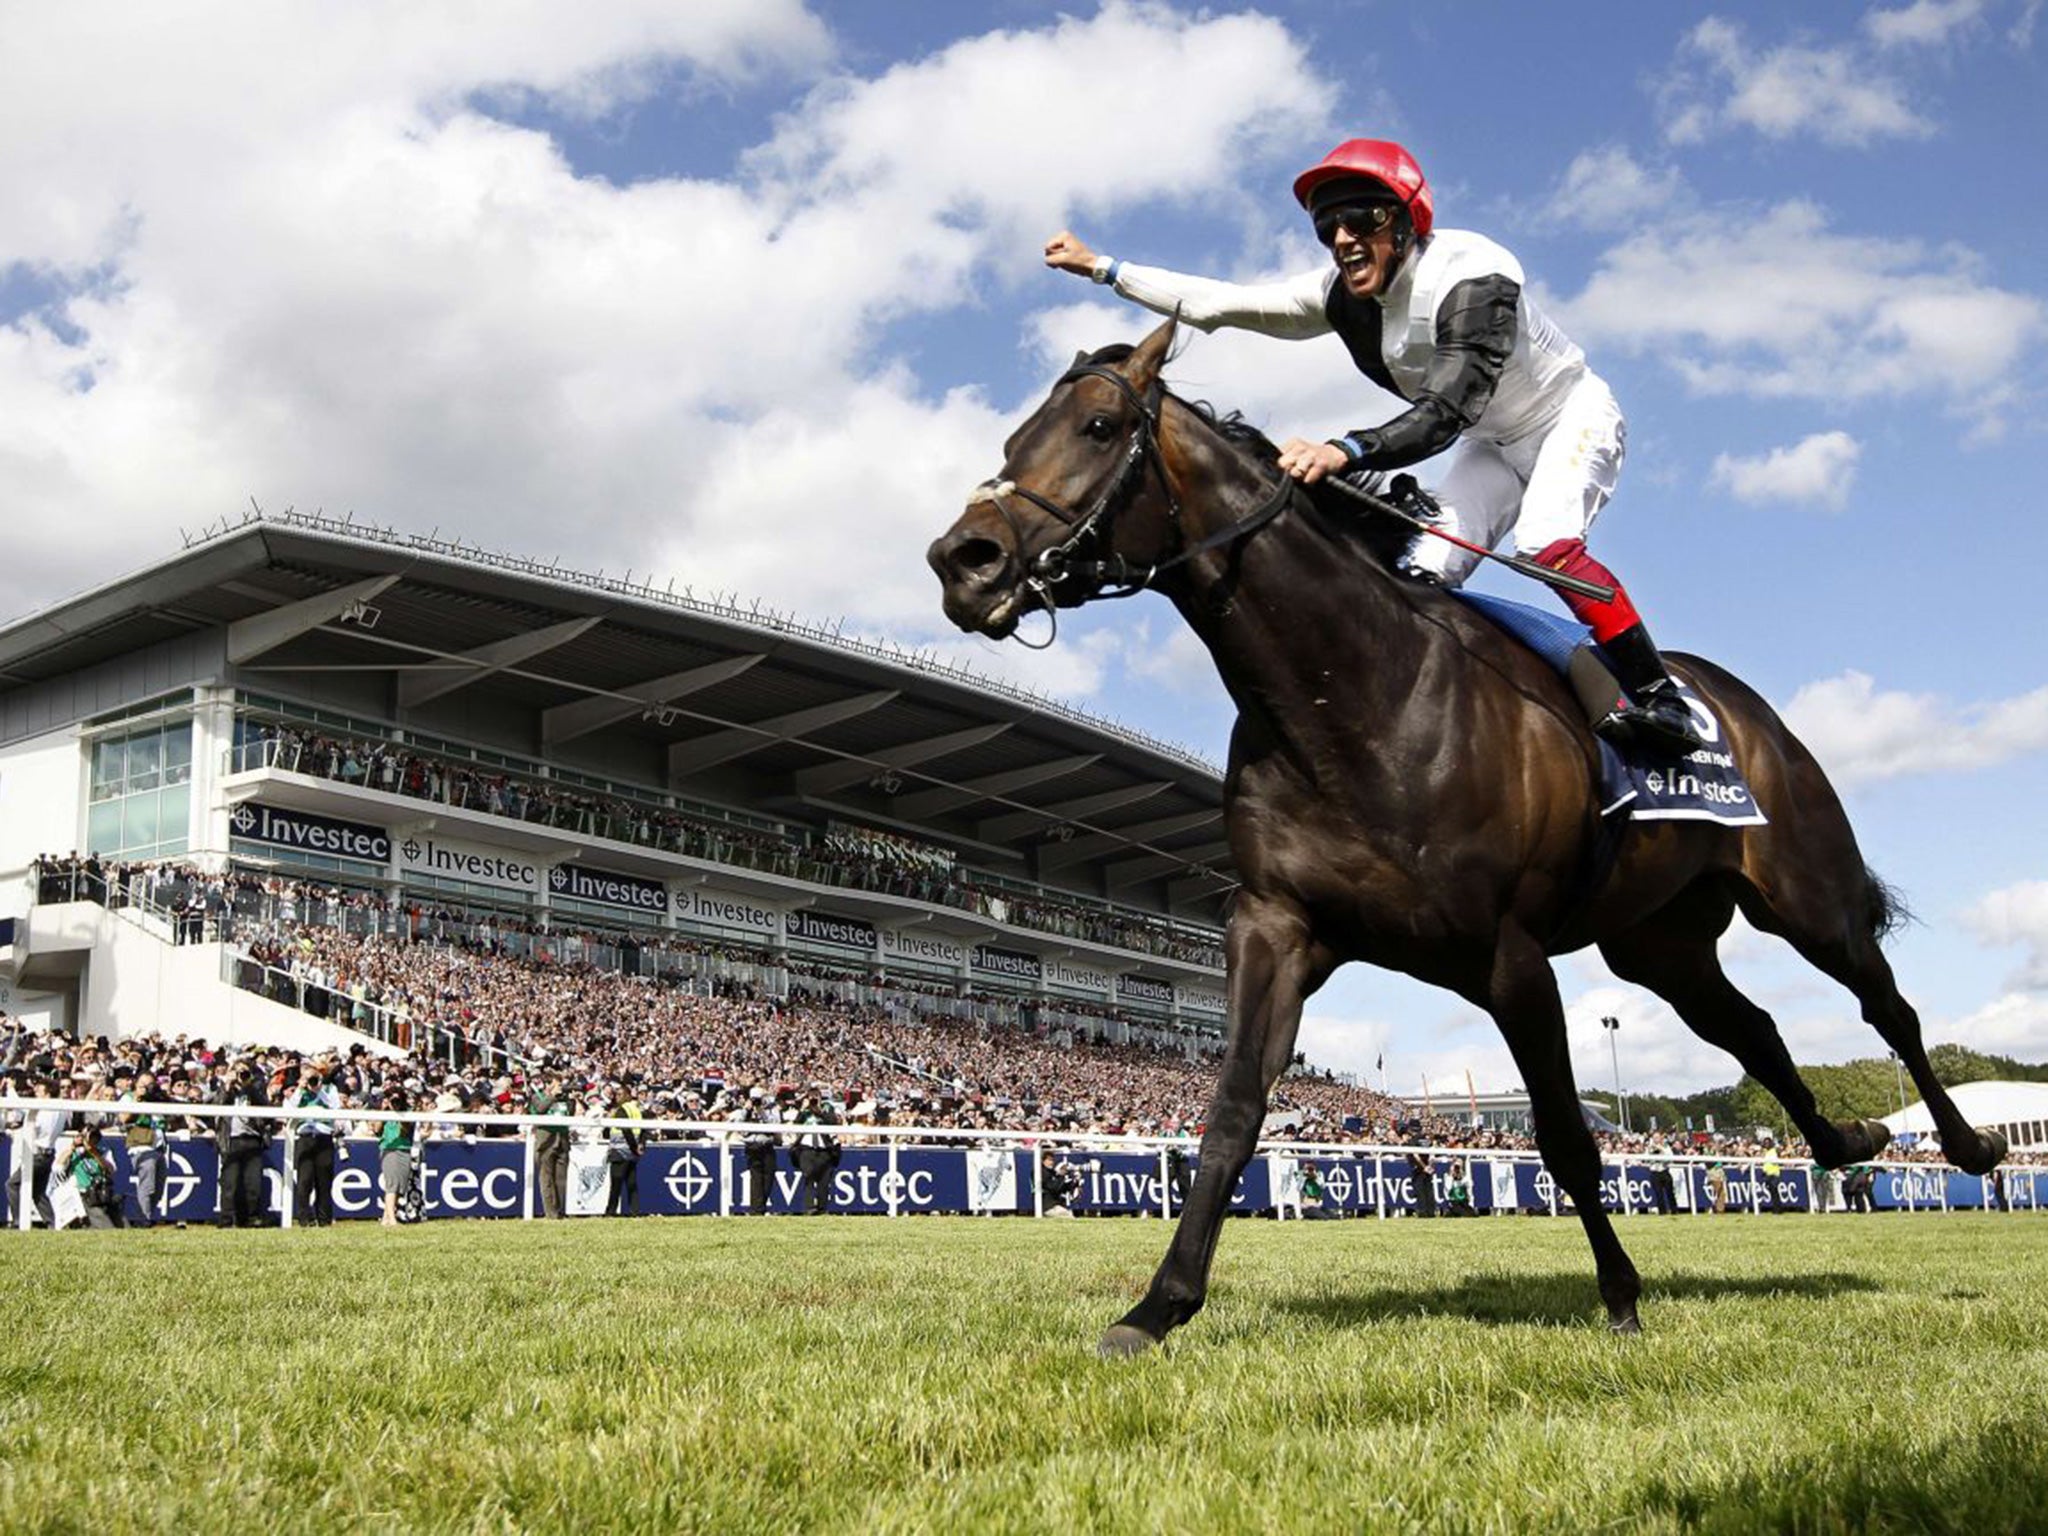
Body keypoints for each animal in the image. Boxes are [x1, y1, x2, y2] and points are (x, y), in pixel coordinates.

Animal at [925, 315, 1998, 1359]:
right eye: (1013, 441)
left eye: (1100, 429)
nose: (961, 561)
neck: (1352, 698)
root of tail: (1739, 704)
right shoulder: (1277, 924)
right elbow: (1231, 1113)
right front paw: (1157, 1307)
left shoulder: (1509, 952)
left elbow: (1565, 1134)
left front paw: (1621, 1296)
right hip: (1659, 943)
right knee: (1756, 1029)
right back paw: (1847, 1141)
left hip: (1806, 895)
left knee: (1887, 1008)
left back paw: (1969, 1145)